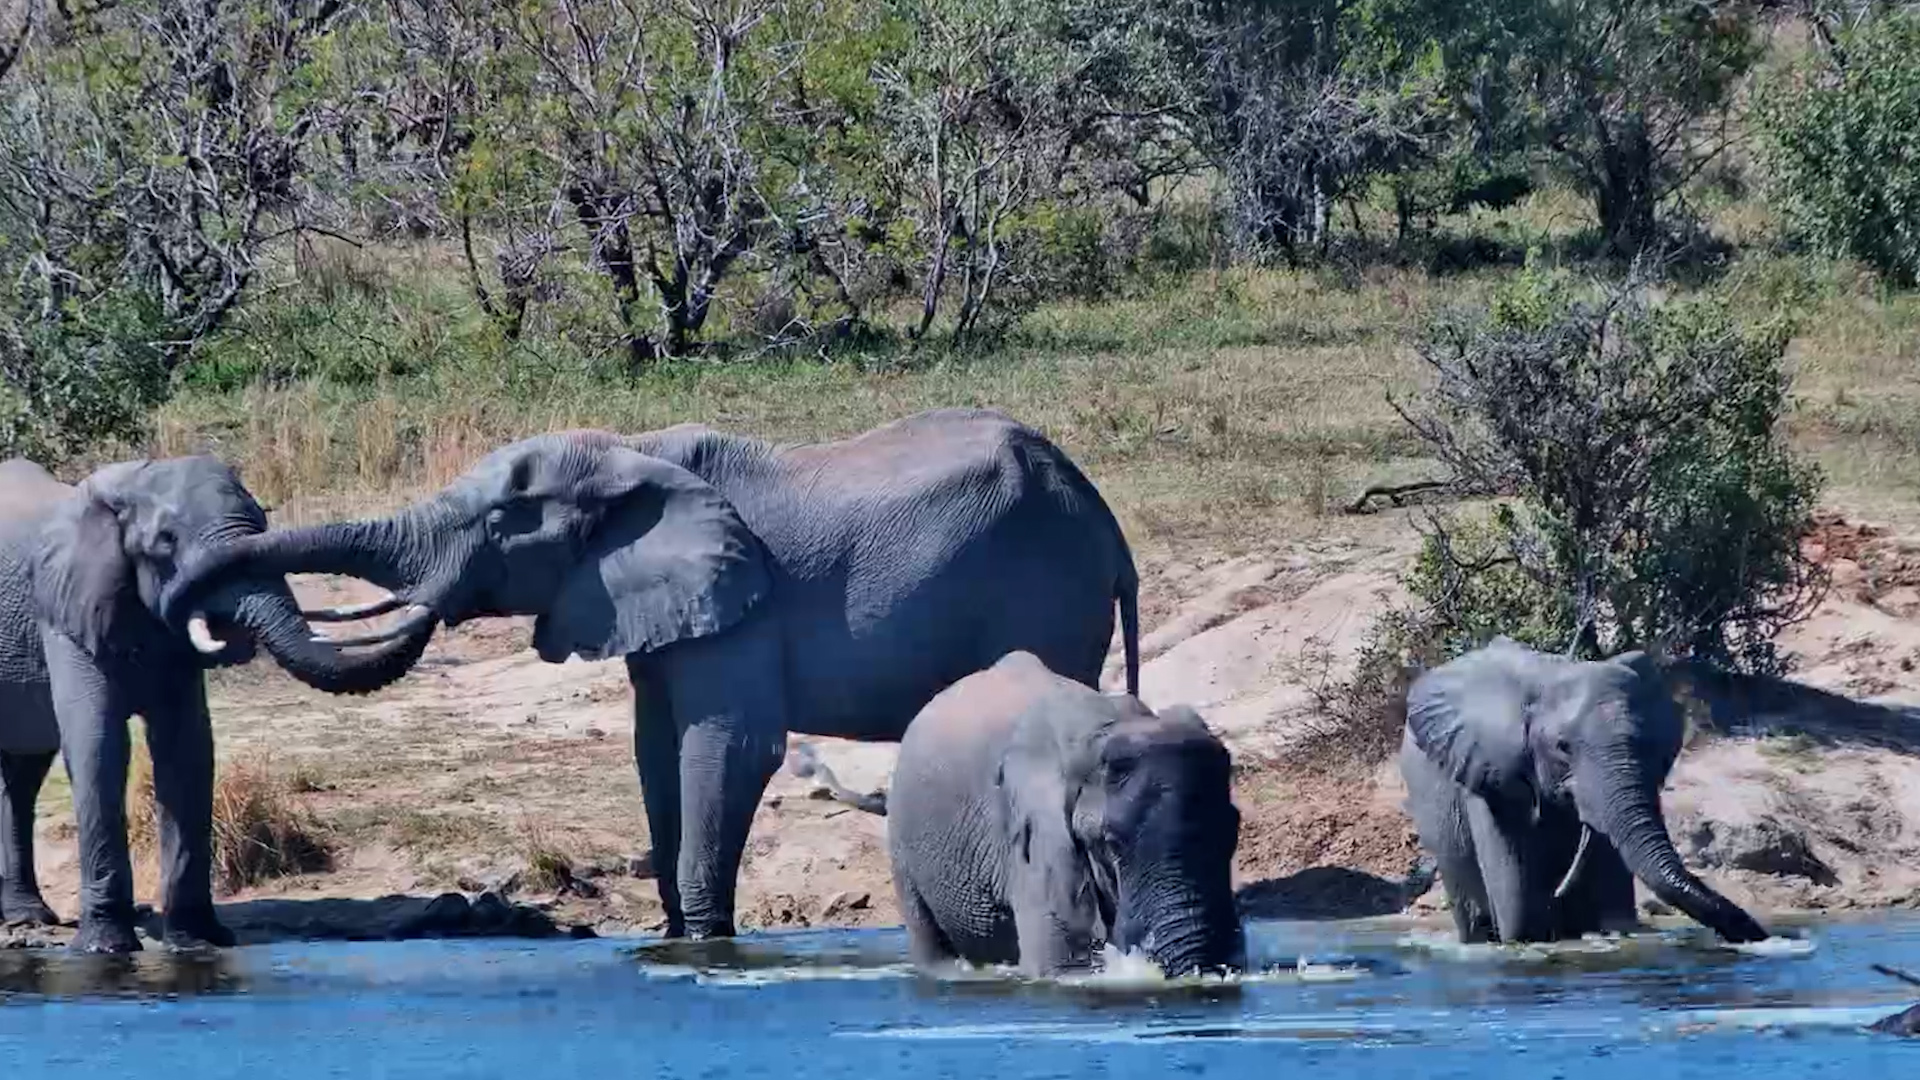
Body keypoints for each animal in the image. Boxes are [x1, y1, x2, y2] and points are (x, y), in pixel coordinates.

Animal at [0, 456, 433, 953]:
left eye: (263, 526)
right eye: (166, 542)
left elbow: (188, 748)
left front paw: (196, 942)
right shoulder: (64, 610)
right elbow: (100, 745)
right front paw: (107, 948)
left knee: (23, 775)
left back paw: (27, 918)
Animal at [159, 408, 1141, 940]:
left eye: (502, 524)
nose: (187, 610)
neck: (631, 453)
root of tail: (1105, 517)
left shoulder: (744, 606)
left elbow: (730, 748)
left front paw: (708, 942)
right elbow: (652, 750)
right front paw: (673, 938)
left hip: (1043, 592)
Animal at [1399, 637, 1769, 945]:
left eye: (1647, 744)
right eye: (1562, 747)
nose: (1754, 932)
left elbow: (1613, 911)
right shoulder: (1493, 774)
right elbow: (1522, 922)